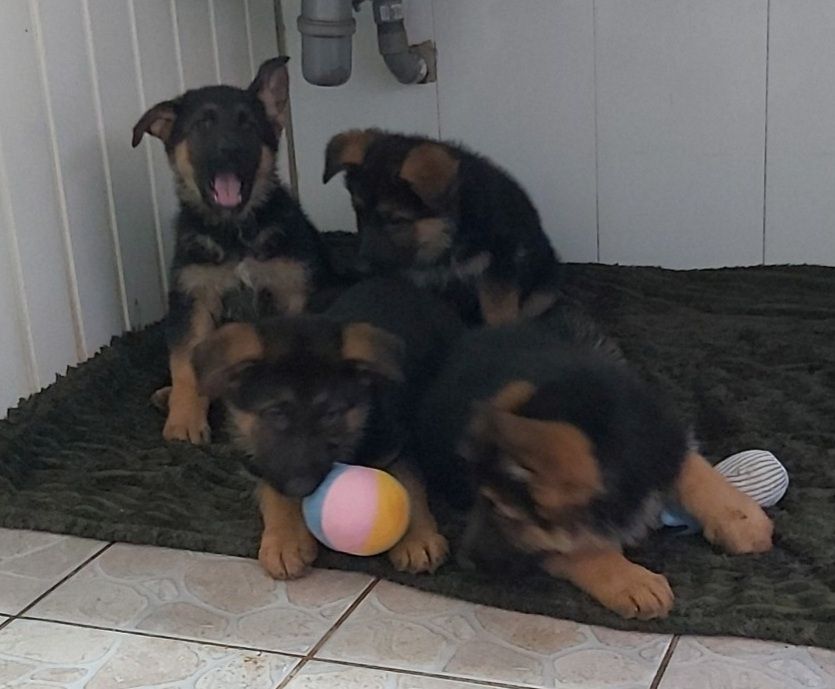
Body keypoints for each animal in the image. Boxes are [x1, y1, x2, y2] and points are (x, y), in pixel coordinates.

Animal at [191, 276, 464, 576]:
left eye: (331, 414)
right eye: (275, 413)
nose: (303, 487)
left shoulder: (395, 443)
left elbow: (410, 483)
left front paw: (418, 538)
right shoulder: (258, 457)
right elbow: (273, 488)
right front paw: (286, 539)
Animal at [320, 130, 560, 328]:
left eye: (396, 220)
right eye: (358, 212)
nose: (361, 267)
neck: (446, 240)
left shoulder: (498, 266)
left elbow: (498, 310)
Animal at [418, 308, 776, 620]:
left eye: (499, 509)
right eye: (477, 496)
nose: (465, 562)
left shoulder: (661, 436)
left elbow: (693, 468)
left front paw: (739, 519)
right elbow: (576, 548)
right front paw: (632, 581)